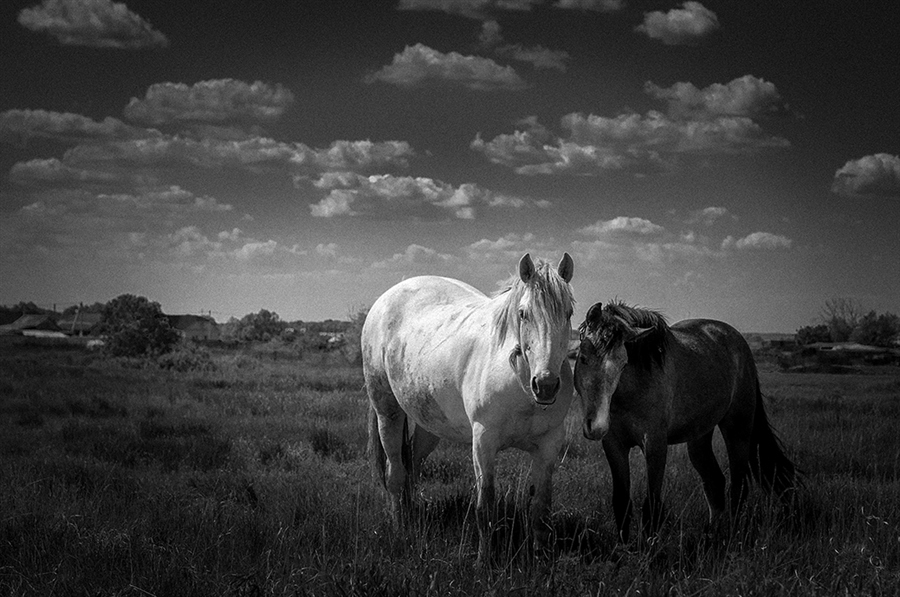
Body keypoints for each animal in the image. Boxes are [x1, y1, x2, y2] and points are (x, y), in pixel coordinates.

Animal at [364, 251, 576, 560]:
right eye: (523, 313)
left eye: (569, 313)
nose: (546, 385)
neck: (520, 384)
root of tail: (386, 298)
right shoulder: (483, 442)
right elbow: (485, 505)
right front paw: (484, 561)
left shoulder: (549, 445)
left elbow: (541, 506)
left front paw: (540, 556)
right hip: (387, 412)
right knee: (396, 473)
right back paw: (400, 528)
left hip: (430, 424)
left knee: (412, 466)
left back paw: (413, 517)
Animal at [576, 300, 796, 544]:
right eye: (583, 357)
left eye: (624, 364)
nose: (597, 426)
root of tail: (740, 344)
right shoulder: (614, 446)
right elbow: (622, 502)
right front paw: (623, 548)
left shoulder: (655, 445)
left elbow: (652, 505)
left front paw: (649, 547)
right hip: (700, 437)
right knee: (714, 482)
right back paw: (710, 535)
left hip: (737, 430)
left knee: (738, 487)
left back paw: (731, 537)